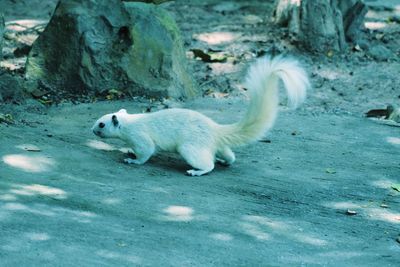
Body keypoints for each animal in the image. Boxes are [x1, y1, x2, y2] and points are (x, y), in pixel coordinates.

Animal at [93, 55, 310, 177]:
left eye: (102, 124)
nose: (93, 130)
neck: (129, 123)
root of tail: (215, 131)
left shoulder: (140, 136)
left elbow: (146, 151)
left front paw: (132, 160)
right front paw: (129, 152)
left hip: (190, 147)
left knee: (208, 164)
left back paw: (196, 171)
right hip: (218, 146)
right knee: (229, 156)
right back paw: (225, 162)